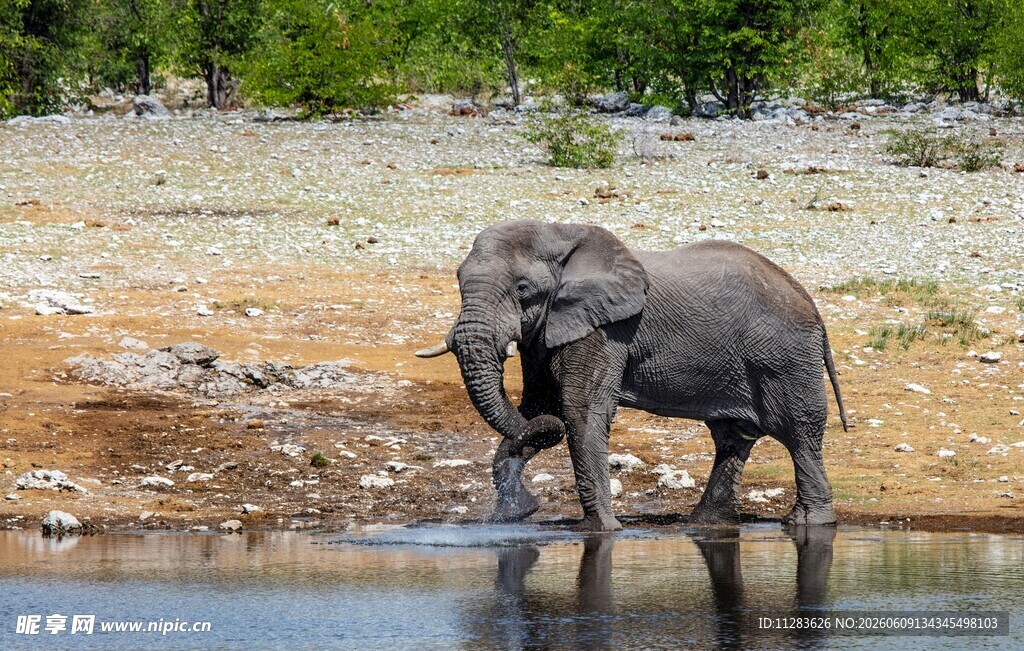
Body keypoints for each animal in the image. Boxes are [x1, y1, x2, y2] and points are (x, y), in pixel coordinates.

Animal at [416, 220, 847, 532]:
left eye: (522, 288)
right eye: (458, 280)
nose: (530, 505)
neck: (561, 234)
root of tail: (812, 304)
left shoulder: (605, 328)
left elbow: (580, 410)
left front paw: (601, 531)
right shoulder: (547, 333)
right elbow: (537, 406)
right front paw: (516, 513)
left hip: (785, 360)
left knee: (799, 435)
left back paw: (808, 524)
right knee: (733, 437)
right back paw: (706, 524)